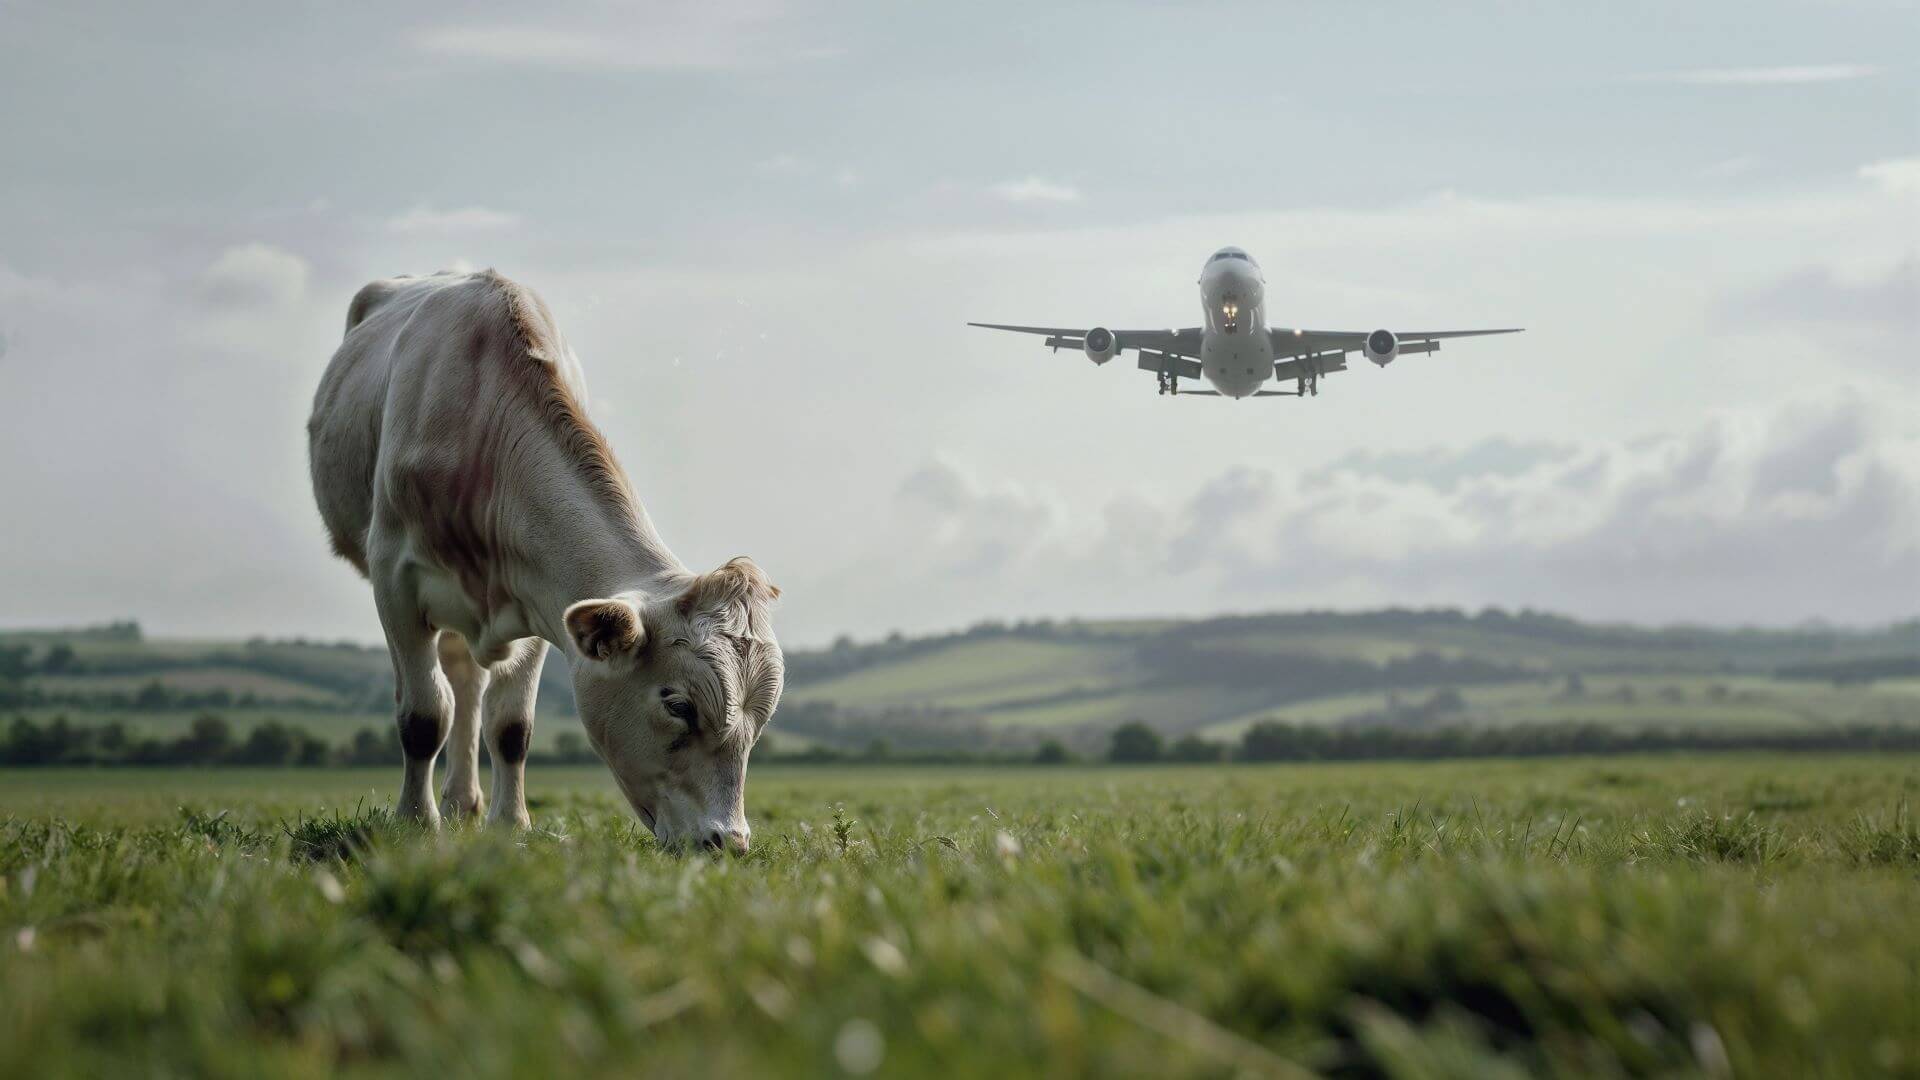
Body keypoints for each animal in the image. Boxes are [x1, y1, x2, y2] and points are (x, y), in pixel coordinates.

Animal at [305, 269, 779, 849]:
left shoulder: (535, 594)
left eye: (760, 722)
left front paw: (510, 823)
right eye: (679, 706)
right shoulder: (395, 580)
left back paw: (463, 801)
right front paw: (416, 822)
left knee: (469, 682)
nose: (729, 841)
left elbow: (511, 726)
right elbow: (423, 715)